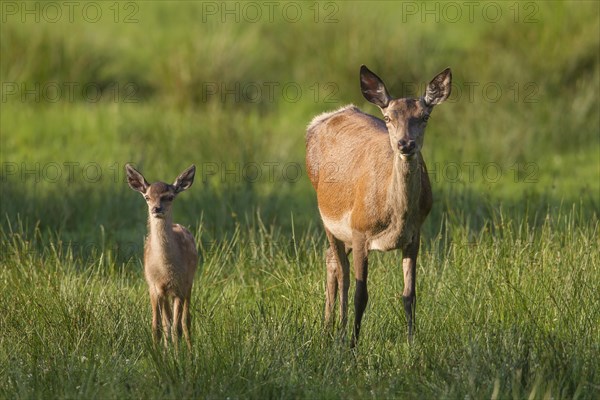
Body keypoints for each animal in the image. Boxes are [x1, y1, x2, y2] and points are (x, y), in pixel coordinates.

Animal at [304, 65, 450, 344]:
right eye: (388, 118)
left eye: (424, 116)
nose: (405, 144)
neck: (396, 217)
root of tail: (317, 123)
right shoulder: (360, 230)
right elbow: (361, 294)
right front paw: (353, 344)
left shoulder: (414, 235)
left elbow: (409, 294)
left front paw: (411, 342)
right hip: (328, 216)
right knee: (341, 270)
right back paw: (337, 329)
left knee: (331, 259)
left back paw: (329, 327)